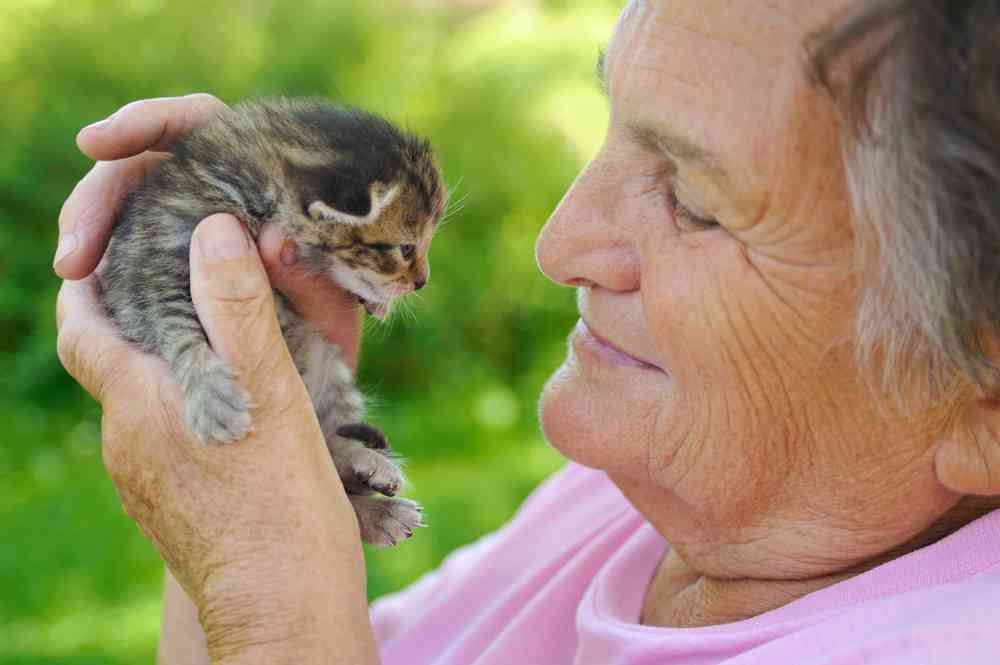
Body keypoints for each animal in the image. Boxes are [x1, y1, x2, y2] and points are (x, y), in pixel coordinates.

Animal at [99, 97, 448, 544]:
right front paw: (211, 396)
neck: (247, 189)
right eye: (406, 248)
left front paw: (376, 301)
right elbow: (177, 330)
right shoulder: (147, 276)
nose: (422, 281)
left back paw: (369, 471)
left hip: (328, 366)